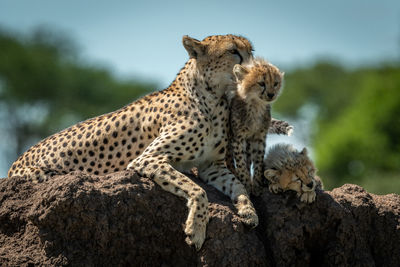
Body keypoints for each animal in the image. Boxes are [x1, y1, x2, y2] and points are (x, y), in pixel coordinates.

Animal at [10, 34, 260, 250]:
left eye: (250, 51)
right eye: (233, 52)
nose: (254, 70)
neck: (213, 97)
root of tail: (16, 162)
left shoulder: (212, 166)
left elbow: (238, 185)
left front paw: (249, 211)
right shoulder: (148, 159)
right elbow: (198, 191)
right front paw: (196, 231)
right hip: (46, 176)